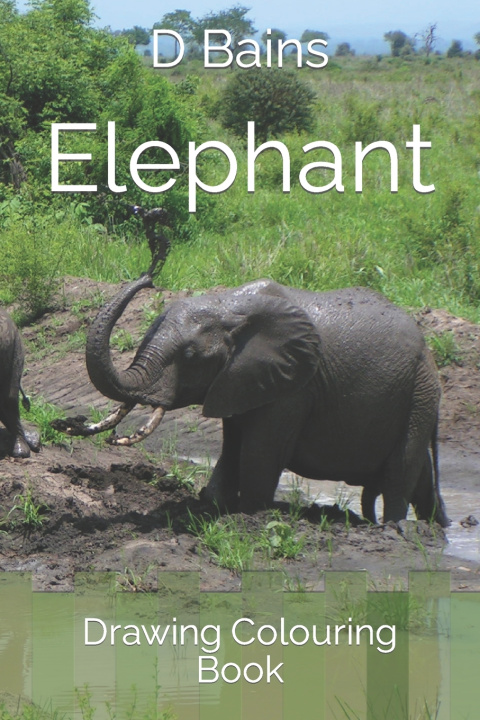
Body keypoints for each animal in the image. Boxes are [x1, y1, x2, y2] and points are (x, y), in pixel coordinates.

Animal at [55, 271, 448, 526]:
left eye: (190, 356)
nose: (149, 275)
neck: (230, 306)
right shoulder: (240, 380)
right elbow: (233, 445)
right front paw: (211, 504)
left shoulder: (294, 387)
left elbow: (260, 452)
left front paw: (249, 512)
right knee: (421, 476)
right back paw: (435, 531)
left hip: (420, 390)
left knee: (402, 467)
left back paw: (394, 528)